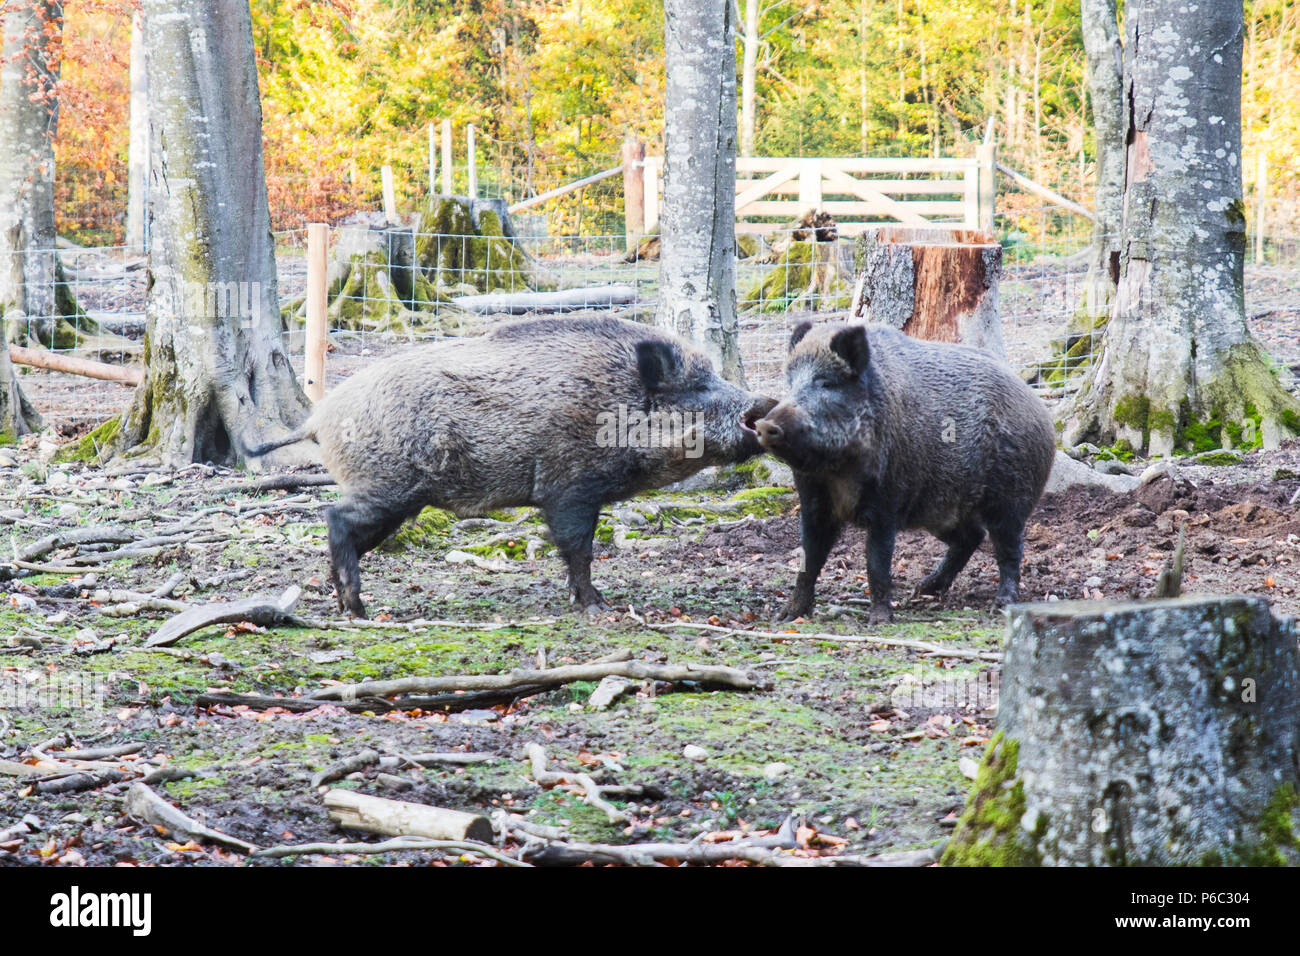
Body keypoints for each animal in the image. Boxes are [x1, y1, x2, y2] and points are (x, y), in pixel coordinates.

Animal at [246, 316, 776, 618]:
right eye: (699, 386)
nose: (766, 402)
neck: (615, 405)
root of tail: (319, 418)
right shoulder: (569, 488)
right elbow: (578, 549)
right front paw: (597, 607)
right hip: (387, 488)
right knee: (335, 519)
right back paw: (359, 609)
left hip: (396, 499)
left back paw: (348, 606)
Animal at [754, 321, 1055, 623]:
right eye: (791, 382)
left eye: (826, 383)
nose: (764, 425)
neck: (839, 469)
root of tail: (1039, 408)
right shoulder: (813, 501)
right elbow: (809, 559)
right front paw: (785, 616)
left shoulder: (887, 500)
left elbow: (876, 562)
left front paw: (879, 620)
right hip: (940, 510)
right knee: (972, 536)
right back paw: (923, 589)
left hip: (1011, 497)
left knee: (1009, 549)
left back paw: (1000, 605)